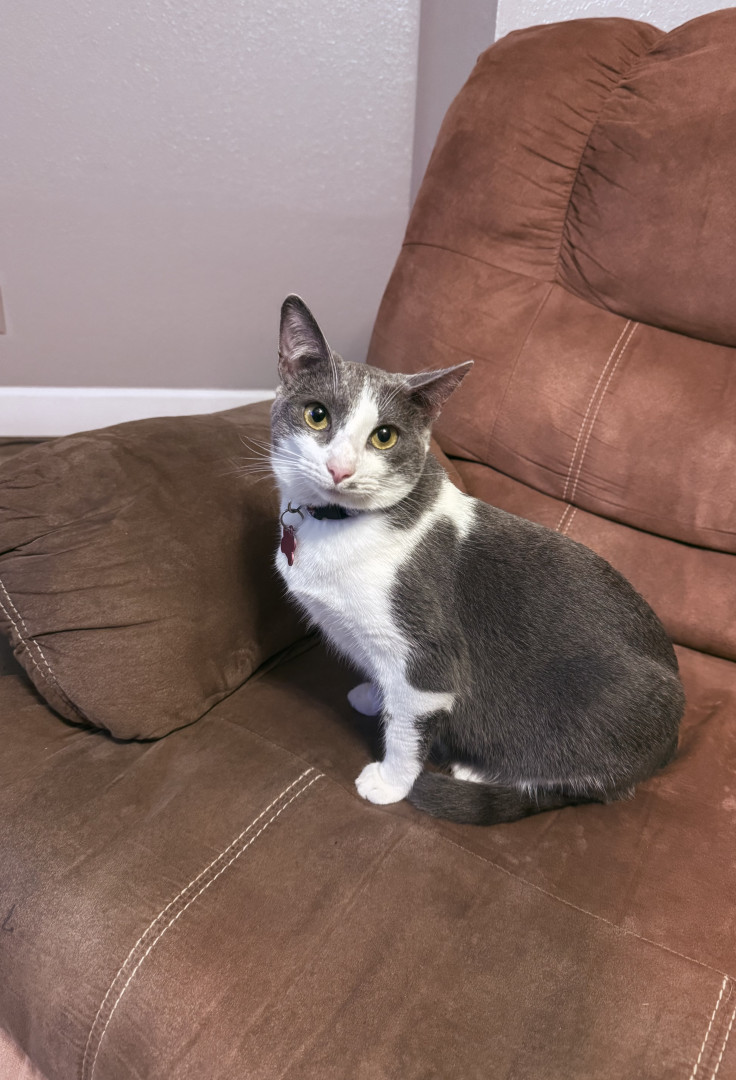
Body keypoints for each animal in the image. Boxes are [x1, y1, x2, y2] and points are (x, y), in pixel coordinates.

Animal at [269, 294, 685, 826]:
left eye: (384, 437)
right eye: (317, 415)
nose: (340, 469)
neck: (336, 524)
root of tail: (670, 745)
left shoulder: (427, 657)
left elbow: (409, 724)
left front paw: (391, 782)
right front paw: (373, 695)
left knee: (579, 782)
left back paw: (479, 771)